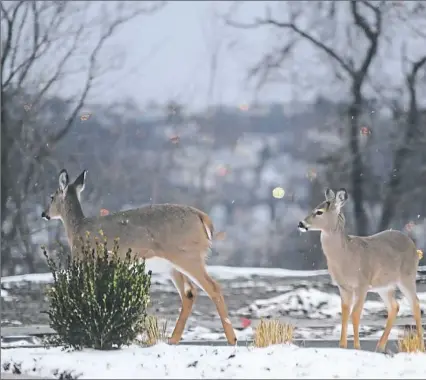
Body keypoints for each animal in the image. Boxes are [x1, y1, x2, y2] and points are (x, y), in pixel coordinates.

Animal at [41, 169, 238, 344]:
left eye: (51, 196)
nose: (44, 214)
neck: (78, 229)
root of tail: (203, 217)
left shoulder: (84, 259)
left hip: (188, 256)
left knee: (212, 287)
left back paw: (232, 339)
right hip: (172, 265)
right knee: (189, 293)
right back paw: (172, 340)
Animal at [298, 189, 424, 352]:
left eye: (319, 212)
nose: (301, 223)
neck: (345, 255)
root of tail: (415, 249)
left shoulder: (362, 283)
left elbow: (355, 313)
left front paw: (357, 346)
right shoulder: (343, 286)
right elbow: (345, 313)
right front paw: (342, 346)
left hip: (407, 277)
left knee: (415, 304)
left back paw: (420, 344)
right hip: (384, 286)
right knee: (394, 306)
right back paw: (379, 346)